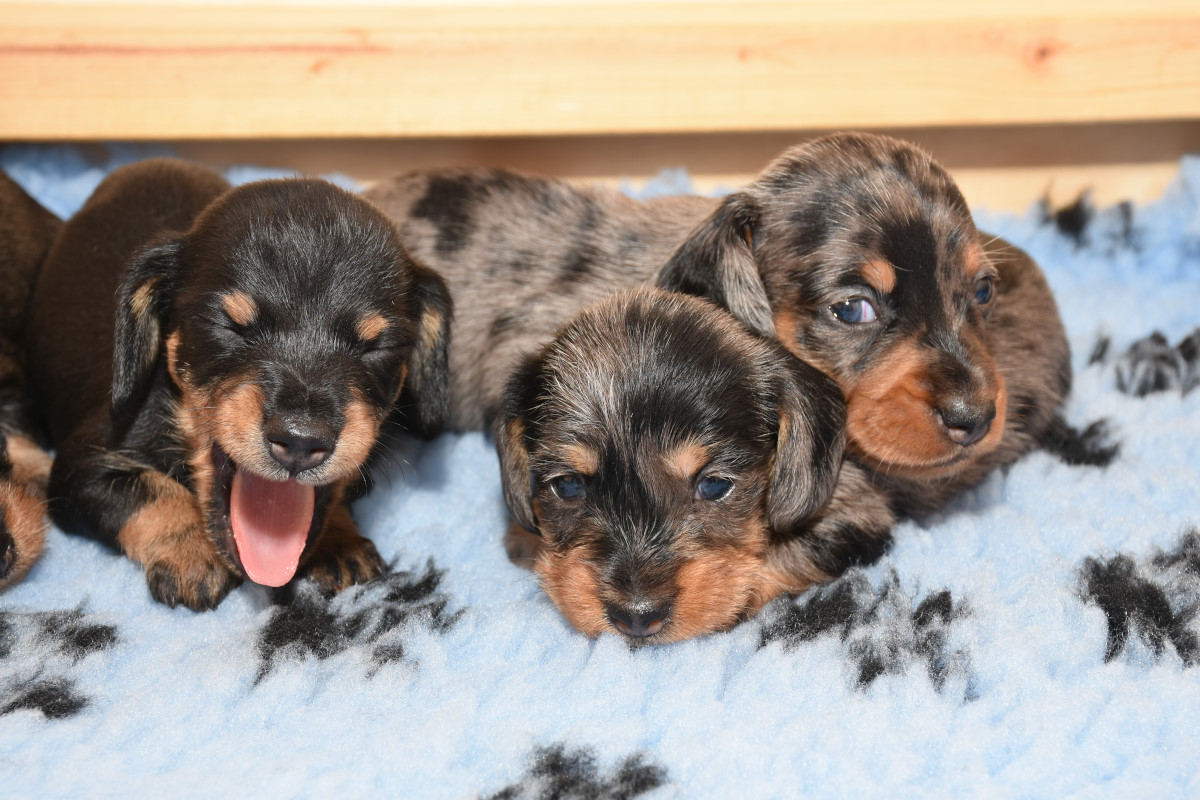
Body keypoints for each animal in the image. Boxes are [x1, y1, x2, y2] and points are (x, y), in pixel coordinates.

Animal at [26, 159, 452, 610]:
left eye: (376, 346)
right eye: (231, 325)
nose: (300, 442)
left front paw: (340, 540)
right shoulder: (79, 465)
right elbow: (146, 490)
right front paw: (191, 552)